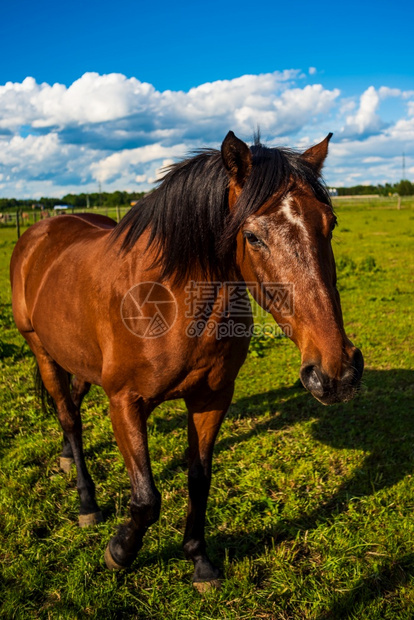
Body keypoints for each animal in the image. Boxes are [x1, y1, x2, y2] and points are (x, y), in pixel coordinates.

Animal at [8, 132, 362, 592]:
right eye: (253, 237)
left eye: (330, 224)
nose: (336, 373)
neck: (168, 302)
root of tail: (39, 231)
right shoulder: (124, 402)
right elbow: (146, 498)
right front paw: (119, 552)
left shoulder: (212, 398)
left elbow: (199, 479)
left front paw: (199, 560)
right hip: (41, 350)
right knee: (69, 416)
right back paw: (87, 502)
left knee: (73, 403)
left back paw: (68, 458)